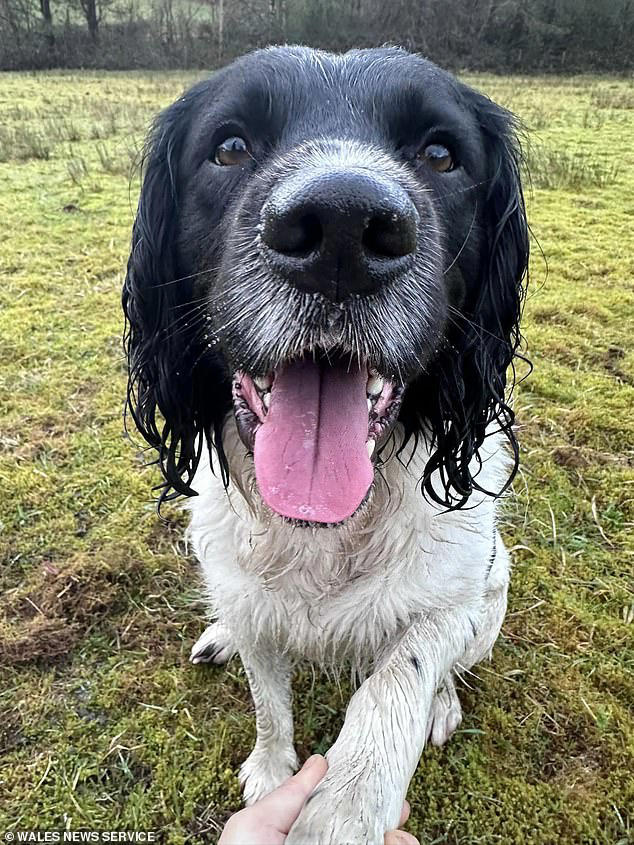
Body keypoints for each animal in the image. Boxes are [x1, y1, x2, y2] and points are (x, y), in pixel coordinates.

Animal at [122, 47, 528, 844]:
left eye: (441, 154)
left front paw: (344, 805)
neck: (324, 528)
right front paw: (272, 772)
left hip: (491, 596)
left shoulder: (445, 599)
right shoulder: (249, 595)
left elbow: (397, 682)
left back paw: (444, 703)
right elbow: (267, 696)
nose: (342, 227)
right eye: (230, 146)